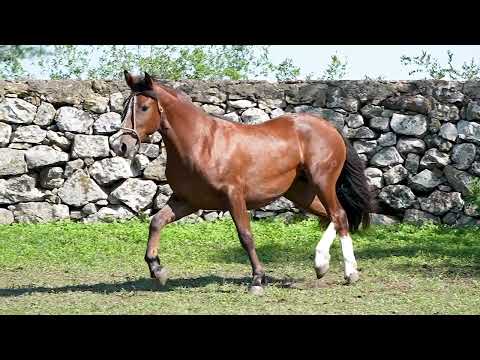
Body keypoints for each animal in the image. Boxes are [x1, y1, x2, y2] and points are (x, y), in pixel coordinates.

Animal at [118, 71, 374, 296]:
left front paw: (258, 280)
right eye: (124, 106)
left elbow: (246, 236)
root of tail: (330, 126)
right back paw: (322, 264)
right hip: (300, 193)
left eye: (144, 107)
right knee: (332, 216)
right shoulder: (187, 200)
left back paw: (349, 272)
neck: (201, 143)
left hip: (322, 182)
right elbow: (156, 222)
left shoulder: (233, 197)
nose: (121, 146)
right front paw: (157, 270)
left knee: (339, 215)